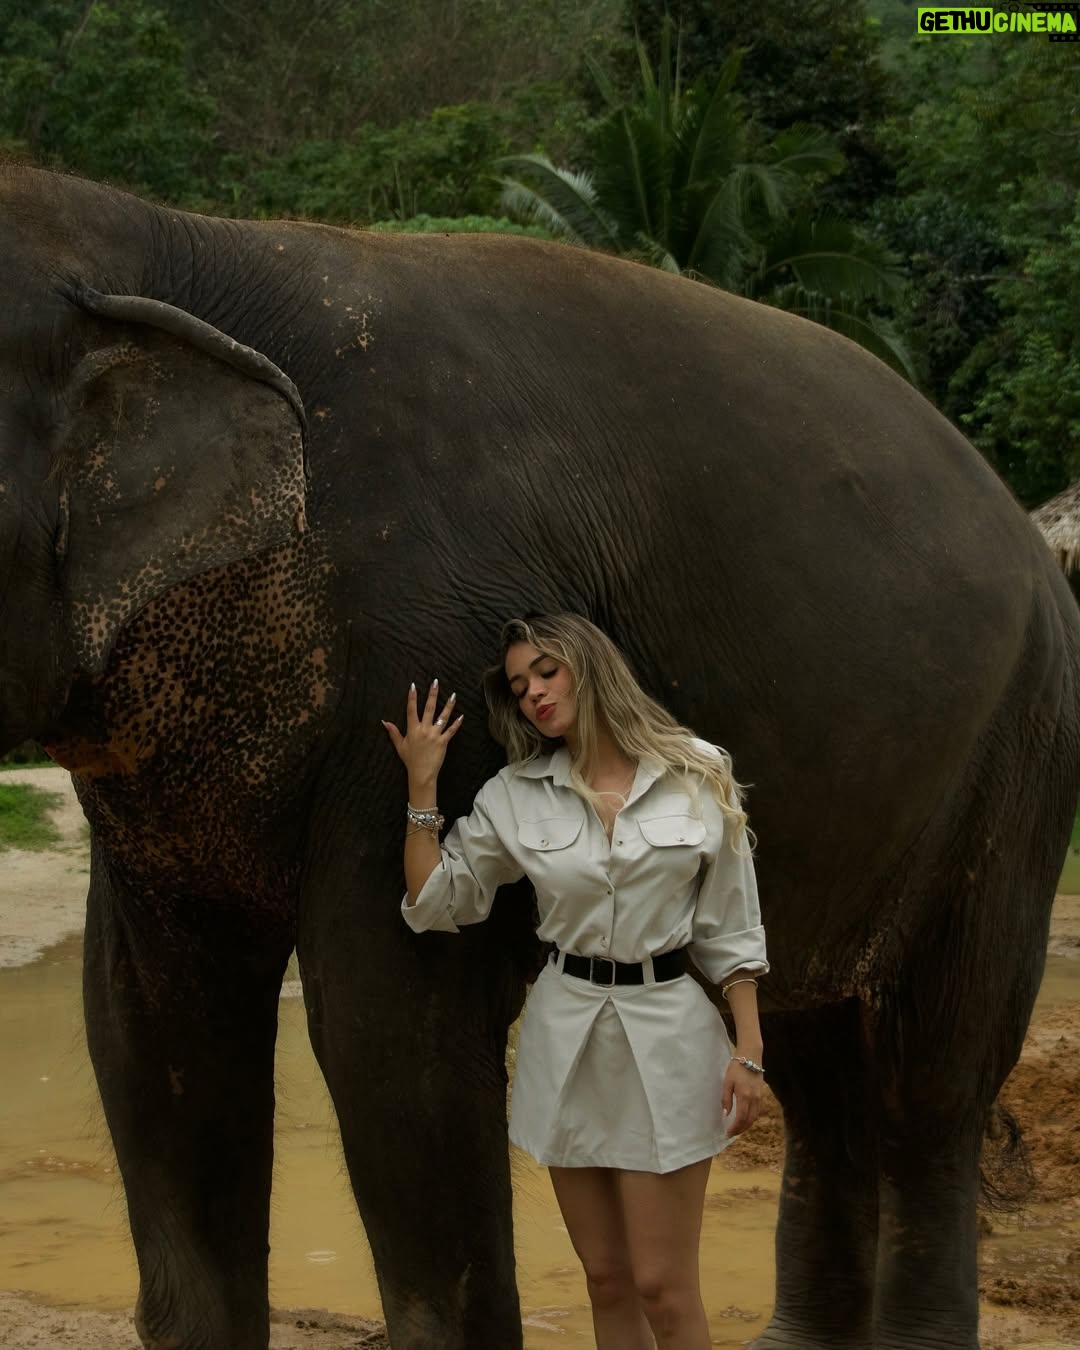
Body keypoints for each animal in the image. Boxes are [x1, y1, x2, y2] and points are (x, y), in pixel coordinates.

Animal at [1, 162, 1077, 1350]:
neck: (163, 240)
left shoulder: (421, 649)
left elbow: (392, 1038)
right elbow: (146, 1035)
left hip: (1023, 747)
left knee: (935, 1075)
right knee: (806, 1048)